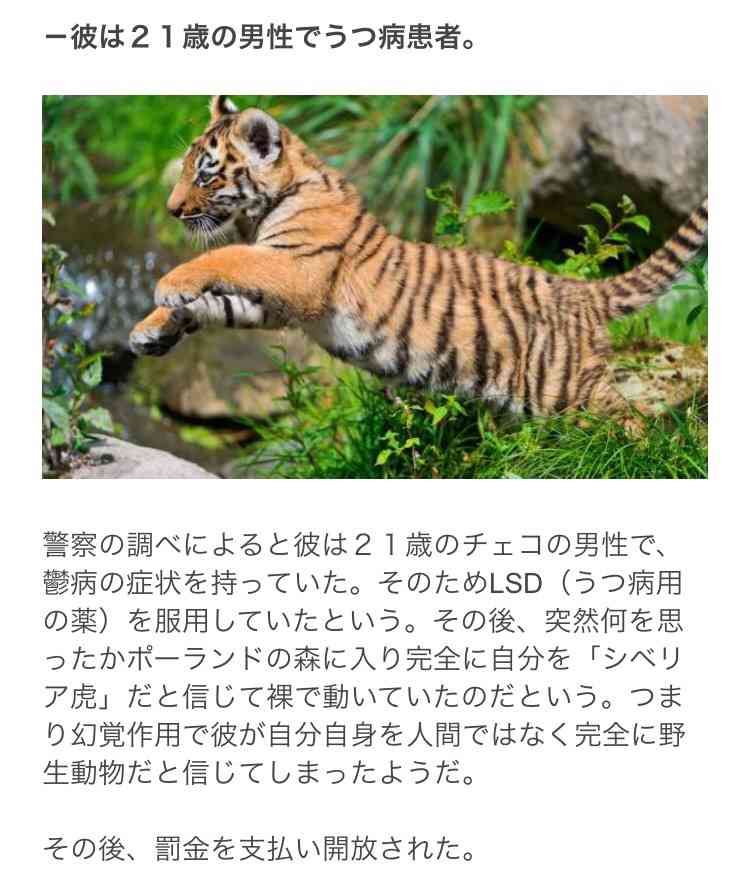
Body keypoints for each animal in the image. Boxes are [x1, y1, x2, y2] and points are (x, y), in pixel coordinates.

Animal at [129, 95, 708, 422]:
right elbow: (215, 303)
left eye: (206, 175)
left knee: (634, 423)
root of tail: (585, 291)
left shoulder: (295, 270)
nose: (172, 209)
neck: (266, 207)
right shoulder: (279, 302)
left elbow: (227, 258)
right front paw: (149, 331)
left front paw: (168, 284)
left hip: (569, 390)